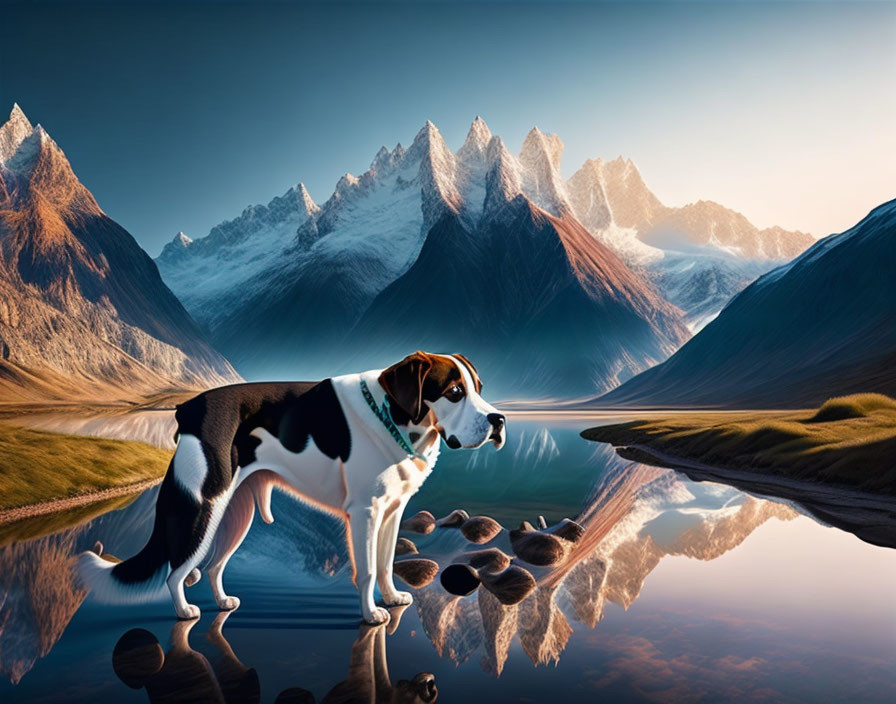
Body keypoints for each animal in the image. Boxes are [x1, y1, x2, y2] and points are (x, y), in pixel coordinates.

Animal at [79, 354, 504, 624]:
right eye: (453, 392)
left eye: (480, 388)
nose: (499, 420)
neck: (392, 415)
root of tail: (188, 409)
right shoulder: (365, 514)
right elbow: (367, 570)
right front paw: (371, 615)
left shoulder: (391, 512)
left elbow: (384, 564)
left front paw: (393, 598)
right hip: (202, 508)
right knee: (176, 571)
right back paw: (184, 612)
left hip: (236, 513)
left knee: (214, 565)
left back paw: (223, 603)